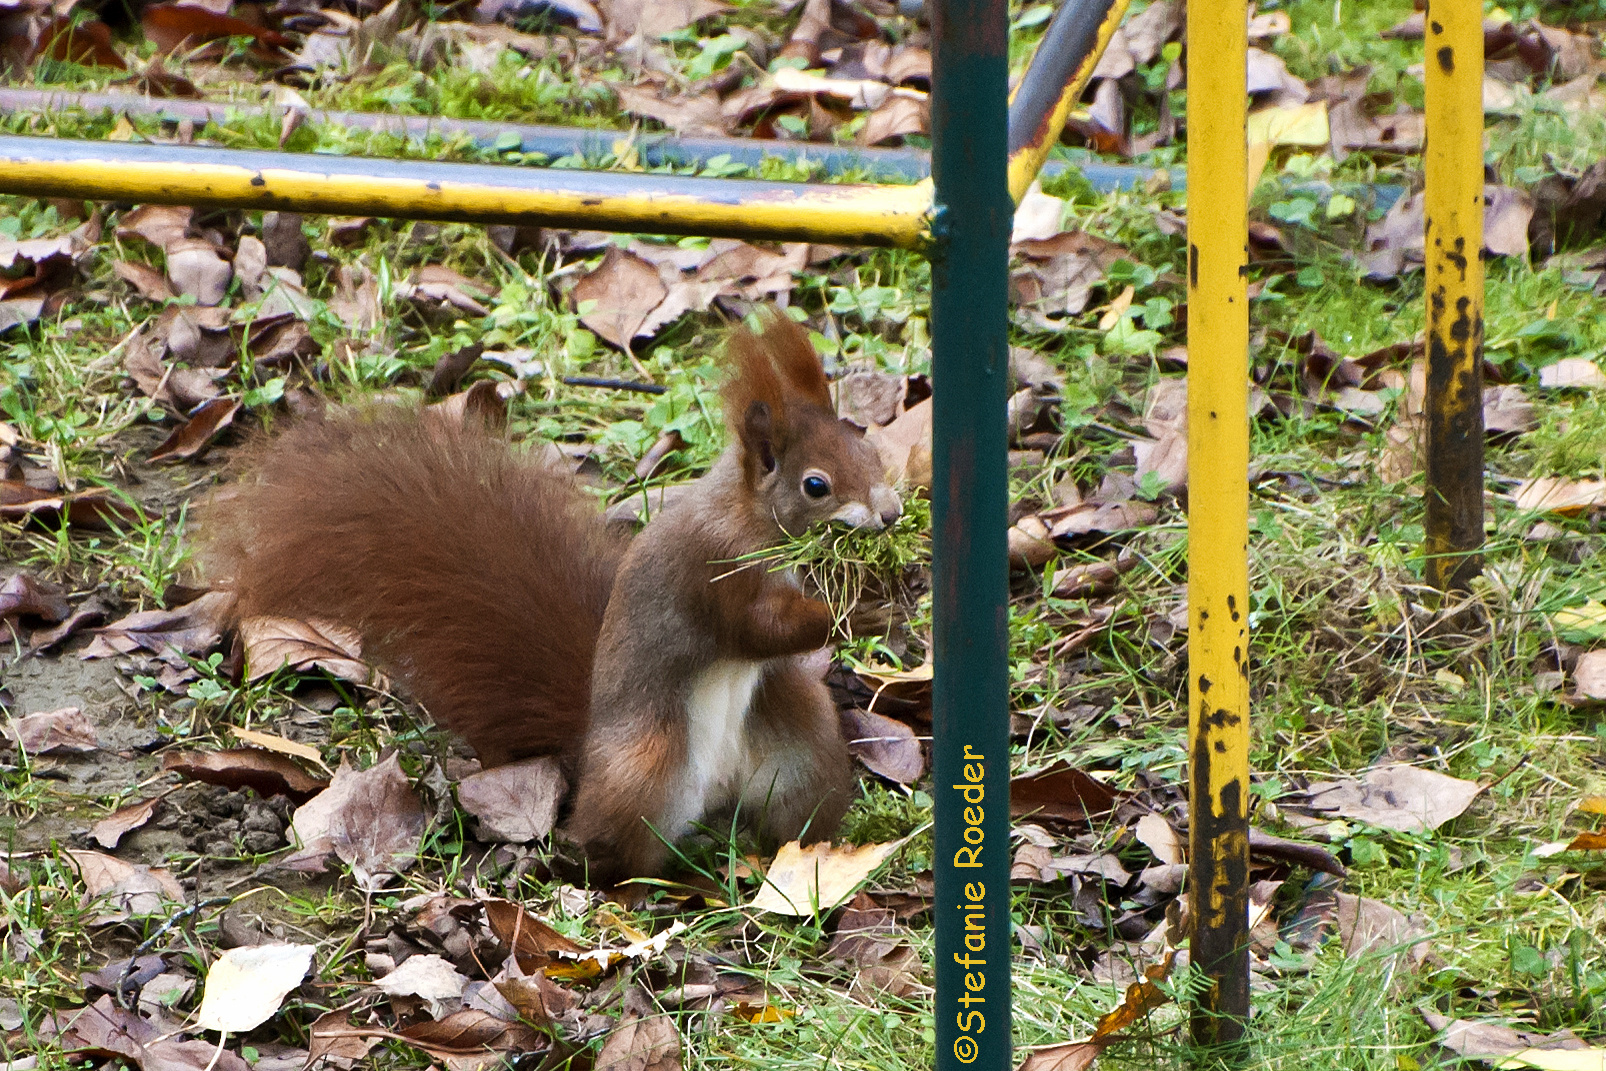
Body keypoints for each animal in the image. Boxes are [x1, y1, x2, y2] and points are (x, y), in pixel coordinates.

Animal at [197, 314, 905, 886]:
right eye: (816, 485)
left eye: (869, 448)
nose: (893, 513)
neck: (749, 519)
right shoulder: (712, 571)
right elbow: (756, 631)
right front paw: (855, 604)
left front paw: (881, 592)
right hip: (648, 766)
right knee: (620, 853)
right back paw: (655, 882)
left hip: (801, 744)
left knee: (787, 816)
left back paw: (788, 855)